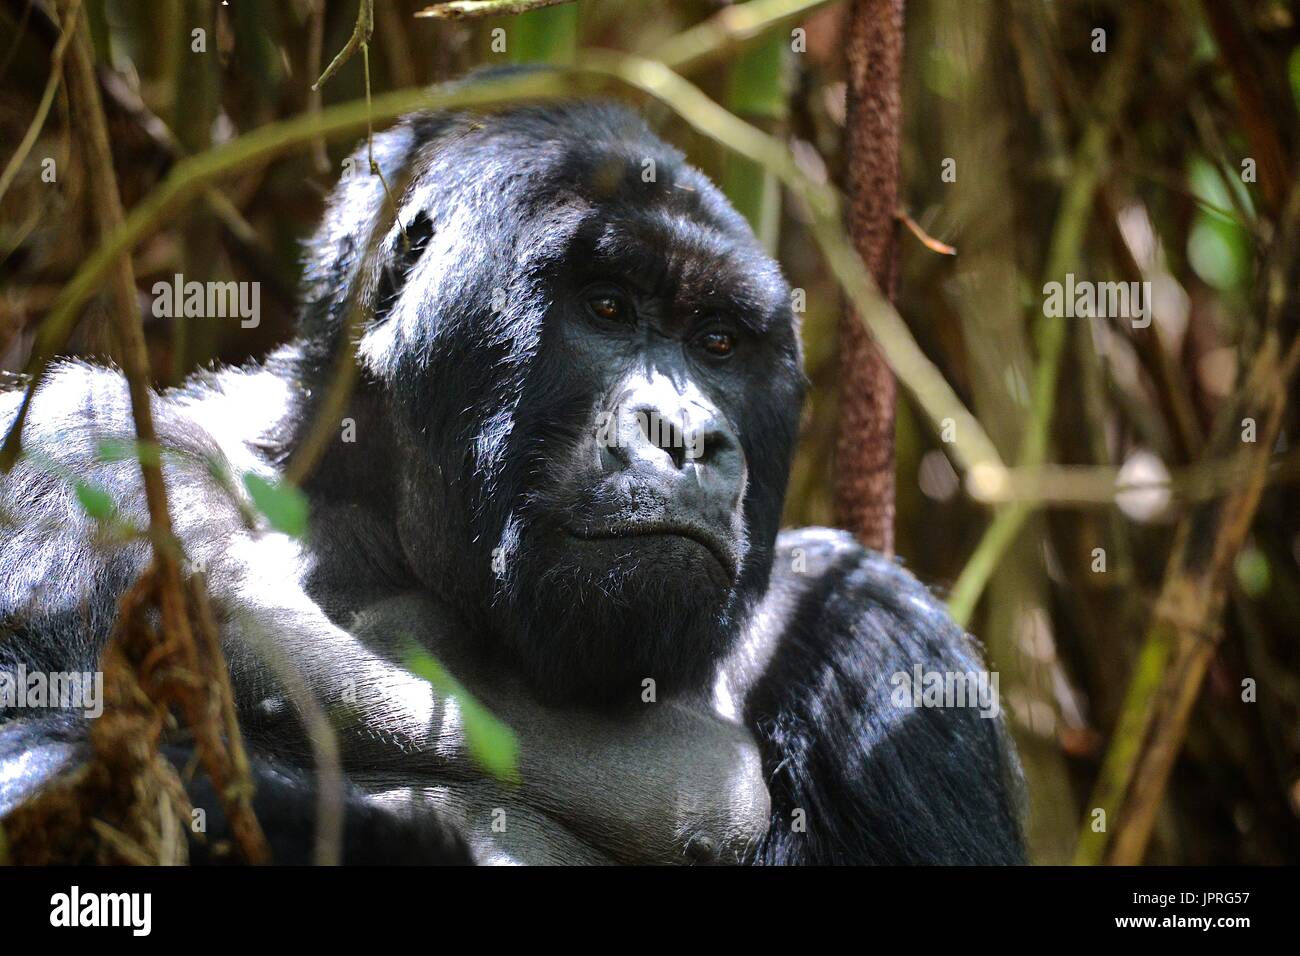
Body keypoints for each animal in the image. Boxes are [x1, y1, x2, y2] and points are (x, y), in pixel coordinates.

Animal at [0, 91, 1024, 868]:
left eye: (719, 343)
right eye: (605, 308)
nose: (688, 436)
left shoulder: (867, 625)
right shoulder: (81, 450)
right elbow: (47, 763)